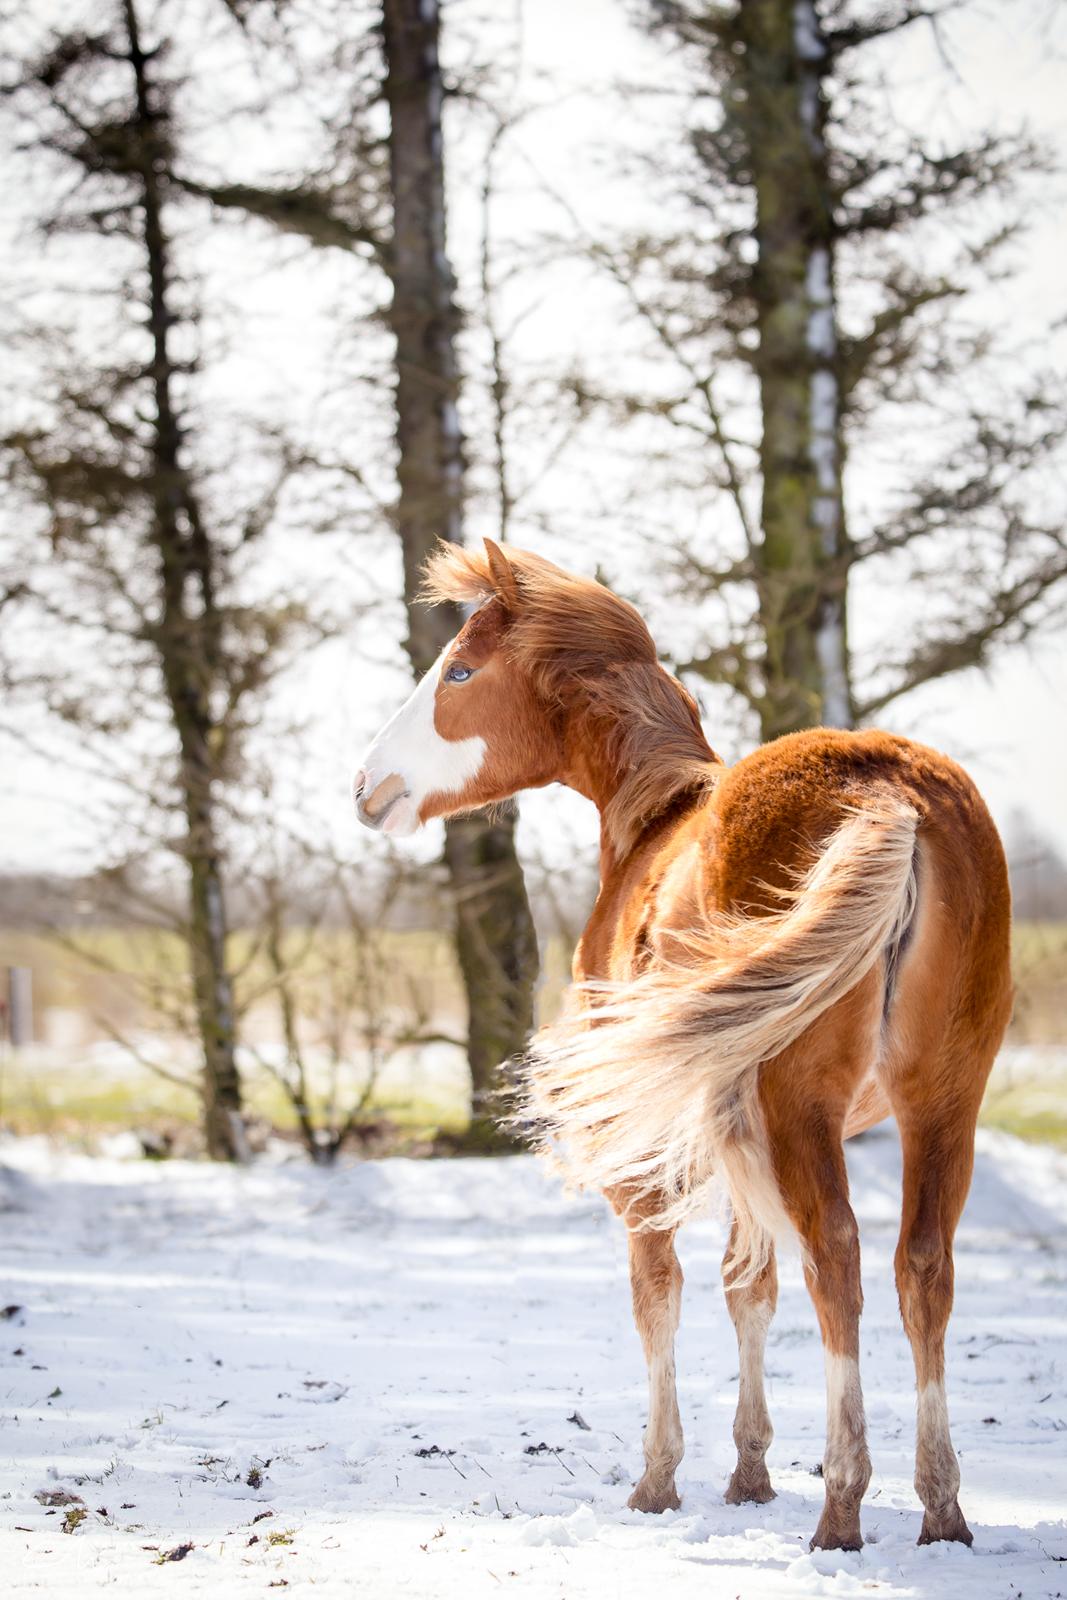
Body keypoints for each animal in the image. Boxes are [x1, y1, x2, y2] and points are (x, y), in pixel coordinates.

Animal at [355, 537, 1017, 1548]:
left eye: (458, 670)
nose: (368, 788)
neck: (656, 815)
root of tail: (887, 789)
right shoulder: (736, 1129)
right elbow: (749, 1285)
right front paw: (748, 1472)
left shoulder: (662, 1141)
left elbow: (657, 1291)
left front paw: (657, 1480)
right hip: (941, 1103)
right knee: (921, 1270)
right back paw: (939, 1511)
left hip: (803, 1109)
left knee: (838, 1262)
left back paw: (841, 1507)